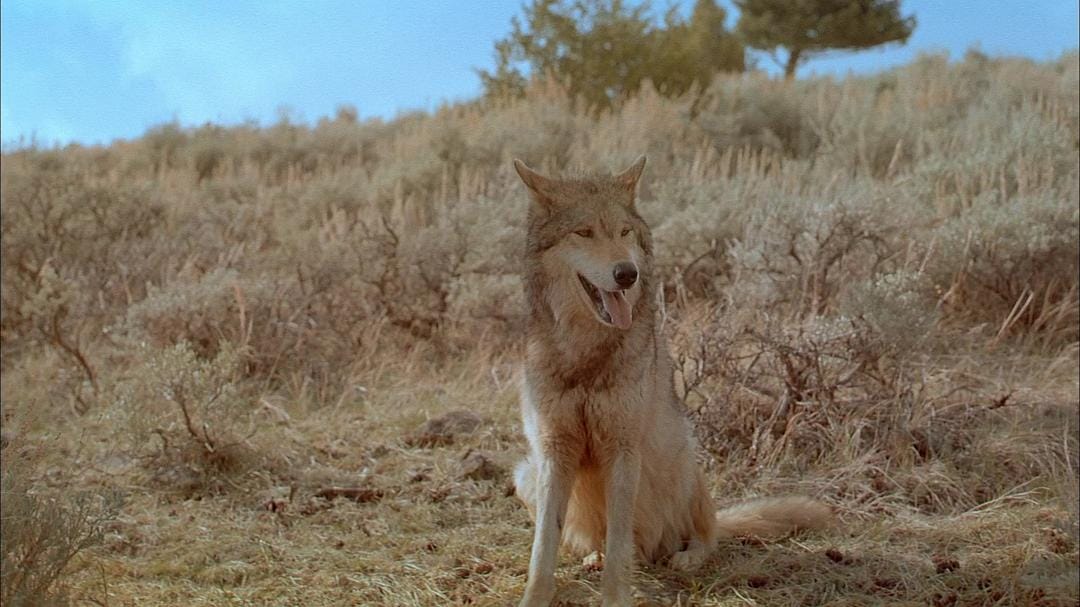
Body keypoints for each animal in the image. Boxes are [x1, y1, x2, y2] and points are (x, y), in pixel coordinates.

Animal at [511, 156, 832, 607]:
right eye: (584, 232)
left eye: (624, 232)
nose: (626, 274)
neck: (586, 354)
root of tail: (653, 551)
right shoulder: (554, 450)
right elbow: (544, 548)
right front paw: (536, 597)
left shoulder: (623, 449)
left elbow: (619, 547)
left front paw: (616, 598)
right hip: (525, 473)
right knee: (605, 543)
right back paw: (595, 556)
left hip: (680, 459)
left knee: (706, 535)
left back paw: (686, 557)